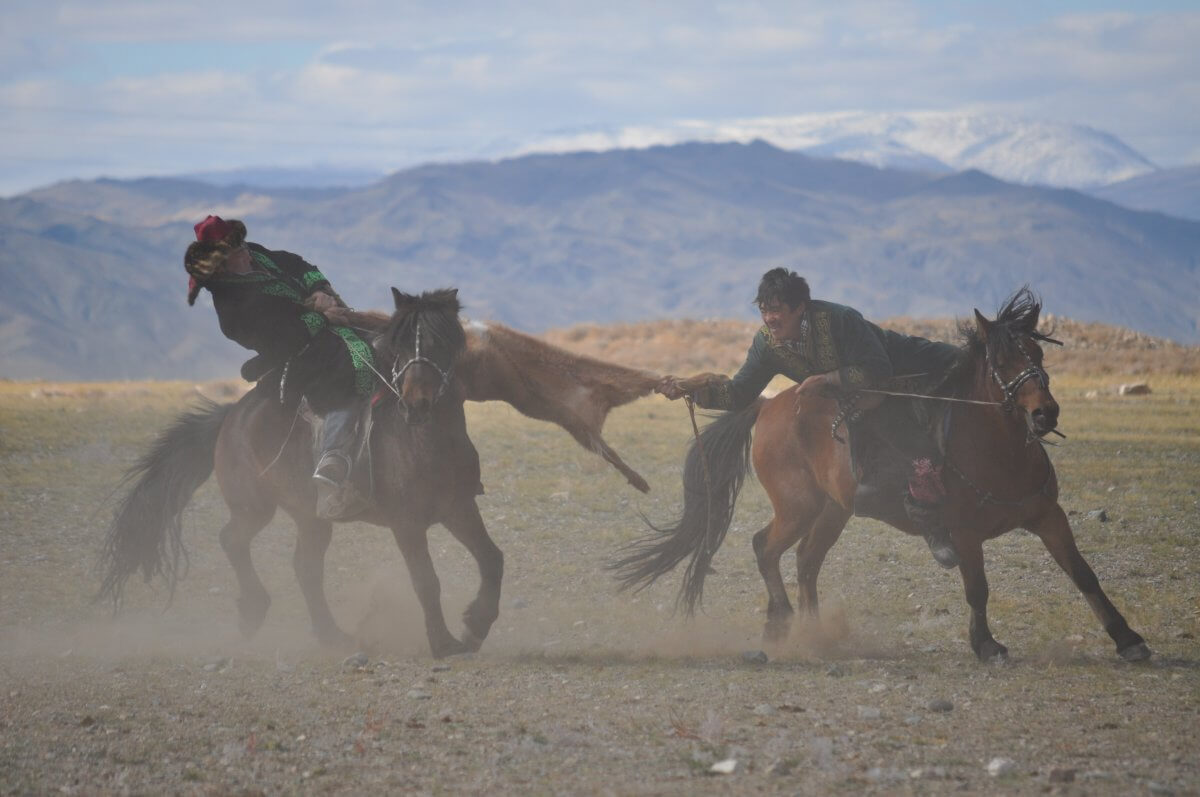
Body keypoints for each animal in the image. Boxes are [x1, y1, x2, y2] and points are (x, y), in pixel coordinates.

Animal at [99, 289, 657, 657]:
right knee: (232, 539)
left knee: (305, 566)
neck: (426, 443)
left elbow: (493, 559)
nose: (417, 401)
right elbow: (426, 580)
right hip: (255, 506)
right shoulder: (407, 524)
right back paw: (255, 610)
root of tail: (230, 416)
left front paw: (475, 626)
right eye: (401, 340)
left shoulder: (458, 509)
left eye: (444, 340)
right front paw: (443, 641)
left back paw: (332, 635)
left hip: (311, 516)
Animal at [614, 289, 1147, 662]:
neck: (994, 448)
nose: (1044, 414)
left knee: (806, 561)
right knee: (766, 548)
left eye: (1037, 356)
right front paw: (987, 646)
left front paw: (1128, 639)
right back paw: (785, 623)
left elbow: (1083, 574)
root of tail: (766, 405)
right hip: (798, 506)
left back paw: (813, 631)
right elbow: (977, 588)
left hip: (833, 510)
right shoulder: (965, 533)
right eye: (1000, 361)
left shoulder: (1049, 515)